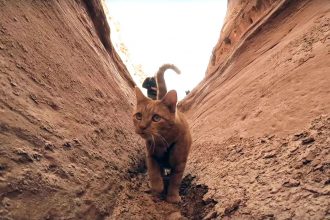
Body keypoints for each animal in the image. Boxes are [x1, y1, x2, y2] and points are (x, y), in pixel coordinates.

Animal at [133, 63, 192, 203]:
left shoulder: (180, 164)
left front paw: (172, 196)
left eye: (156, 118)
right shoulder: (151, 156)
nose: (142, 126)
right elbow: (154, 173)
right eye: (138, 116)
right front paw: (157, 187)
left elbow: (175, 181)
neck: (163, 142)